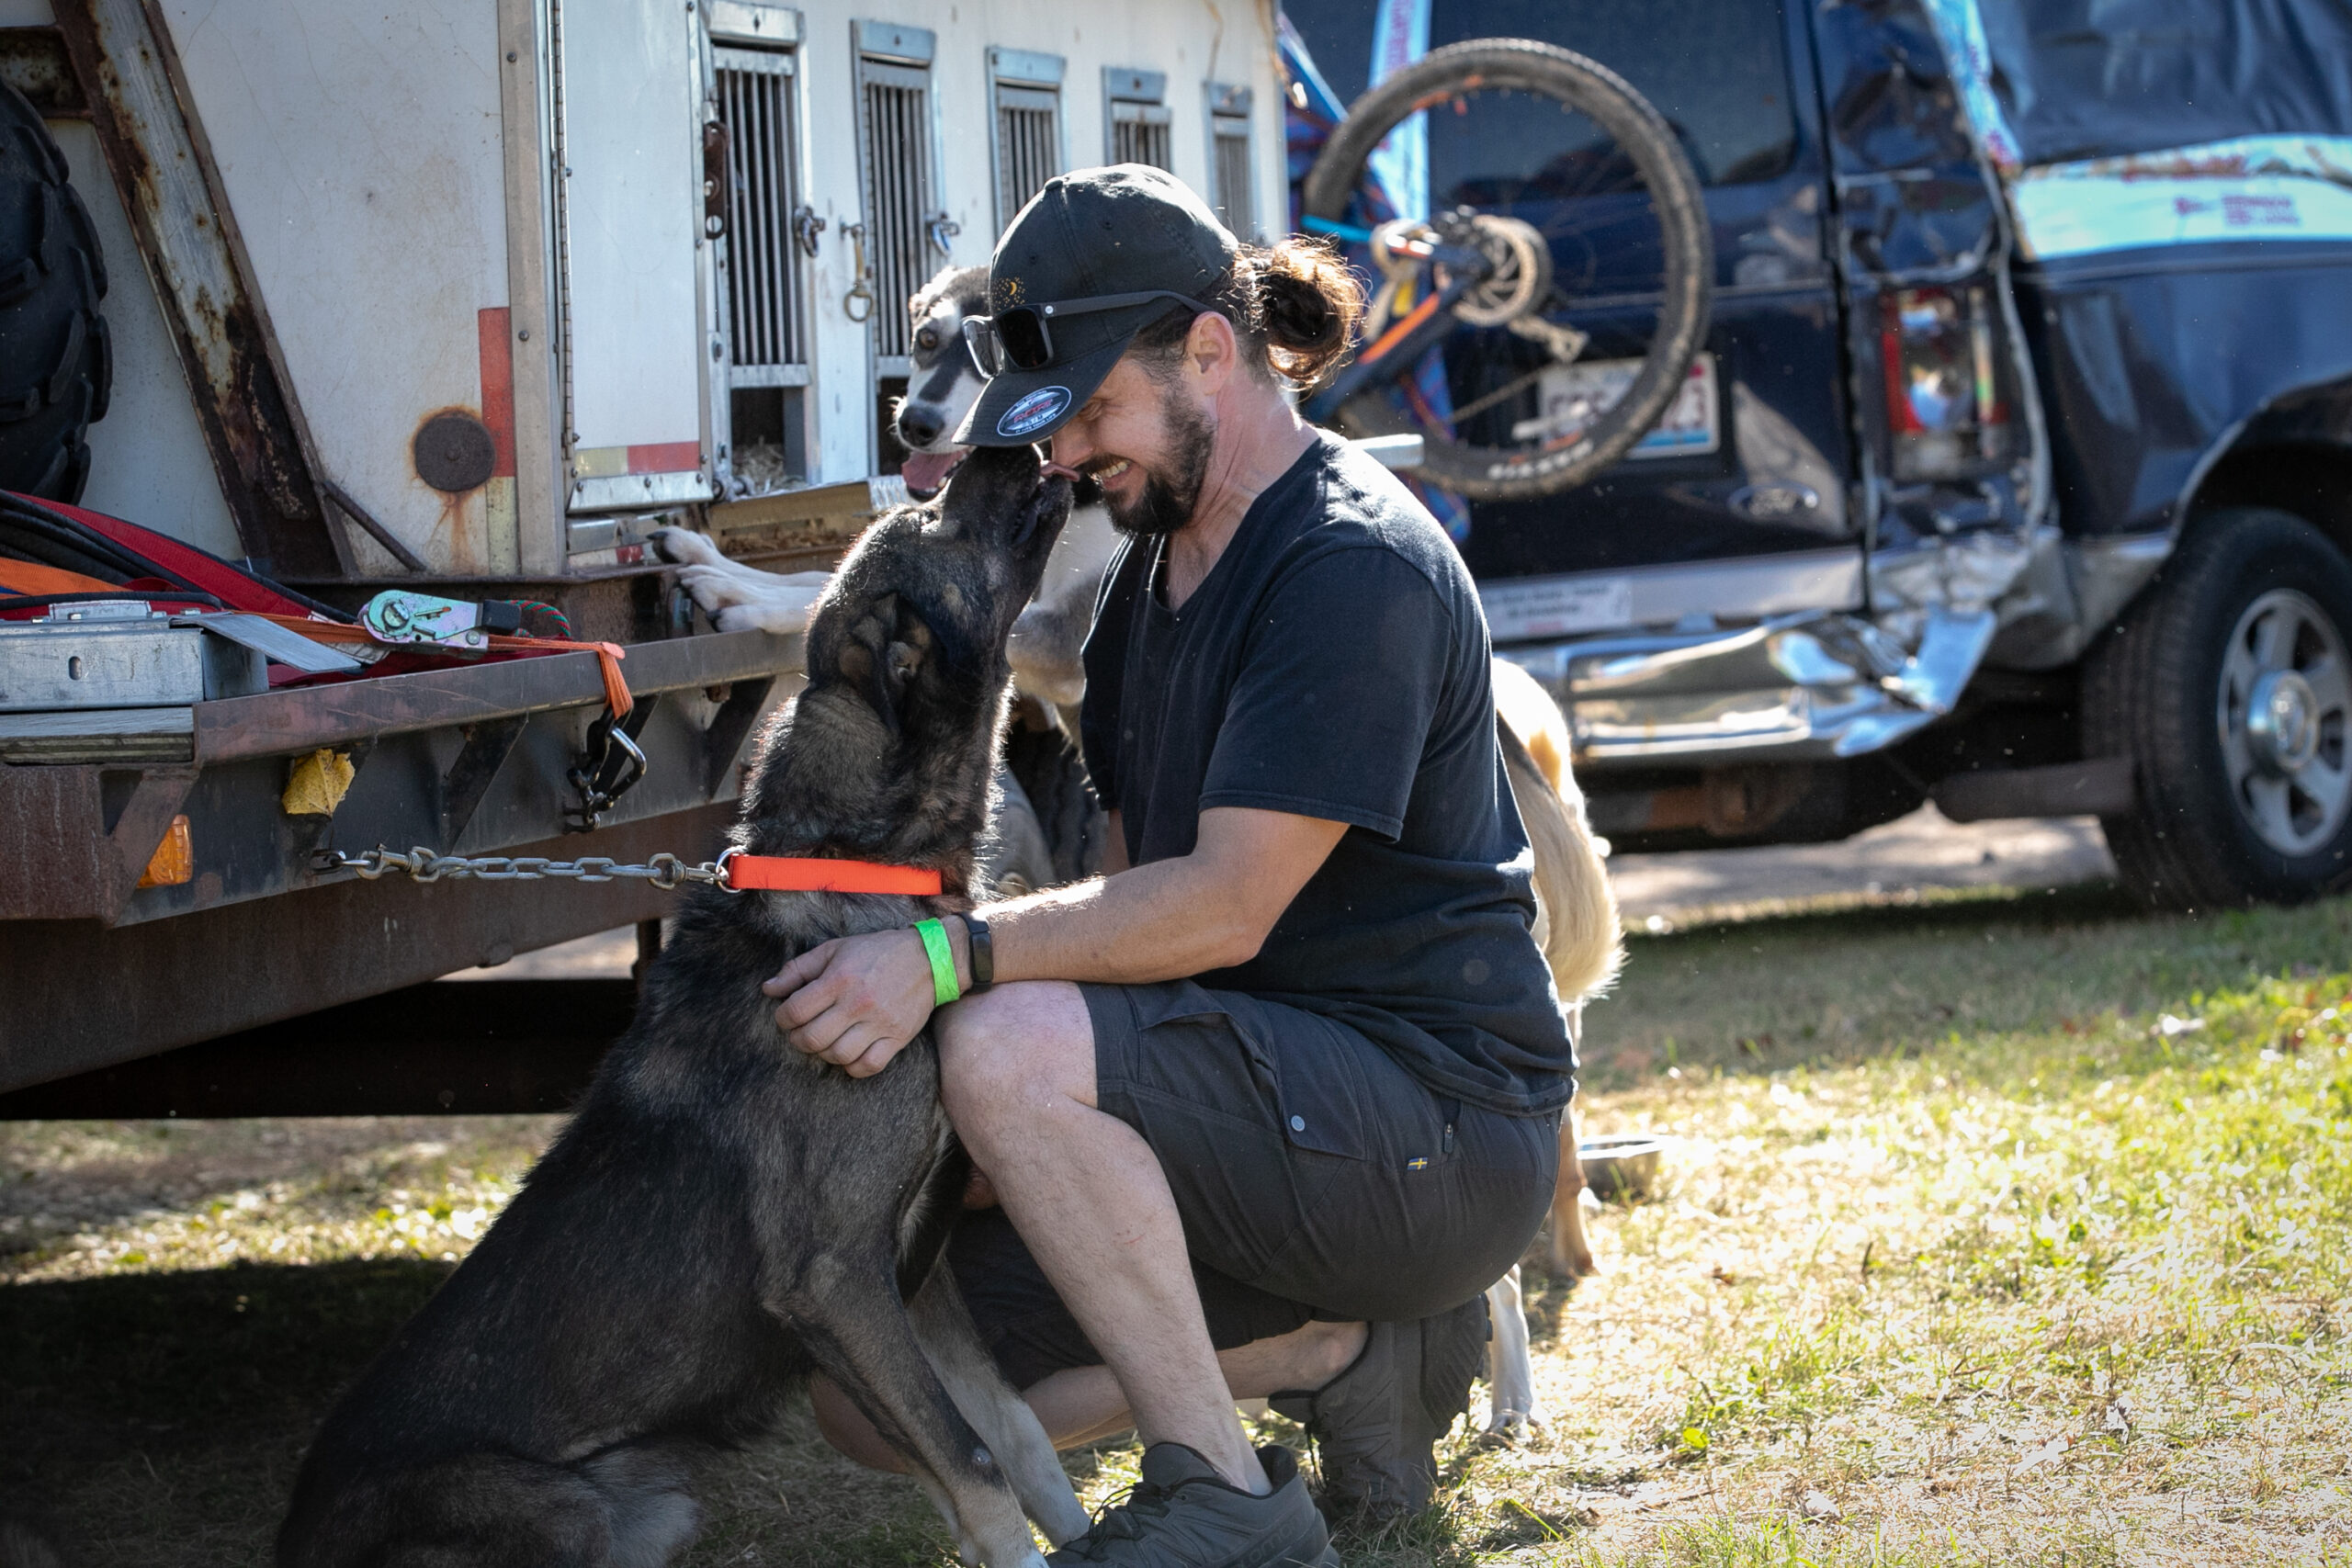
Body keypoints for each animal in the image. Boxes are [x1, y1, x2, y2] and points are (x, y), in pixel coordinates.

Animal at [279, 444, 1086, 1568]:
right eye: (938, 520)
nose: (1001, 444)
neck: (860, 870)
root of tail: (291, 1539)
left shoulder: (913, 1280)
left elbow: (1014, 1434)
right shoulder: (839, 1279)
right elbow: (974, 1467)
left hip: (652, 1502)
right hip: (567, 1509)